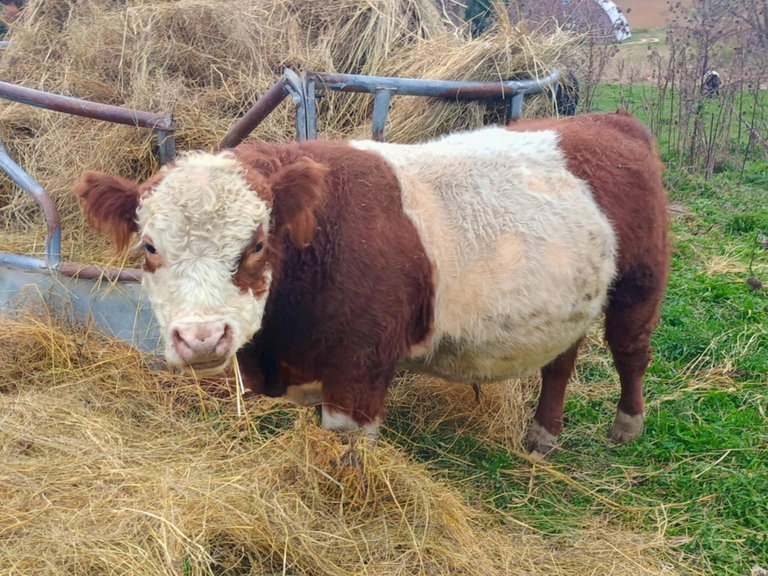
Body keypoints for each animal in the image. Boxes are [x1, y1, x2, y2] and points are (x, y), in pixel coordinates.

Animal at [75, 111, 669, 455]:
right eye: (149, 247)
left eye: (257, 244)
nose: (201, 338)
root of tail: (610, 119)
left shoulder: (358, 374)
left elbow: (348, 458)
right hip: (568, 301)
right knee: (560, 363)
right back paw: (542, 434)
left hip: (640, 283)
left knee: (631, 351)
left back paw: (628, 425)